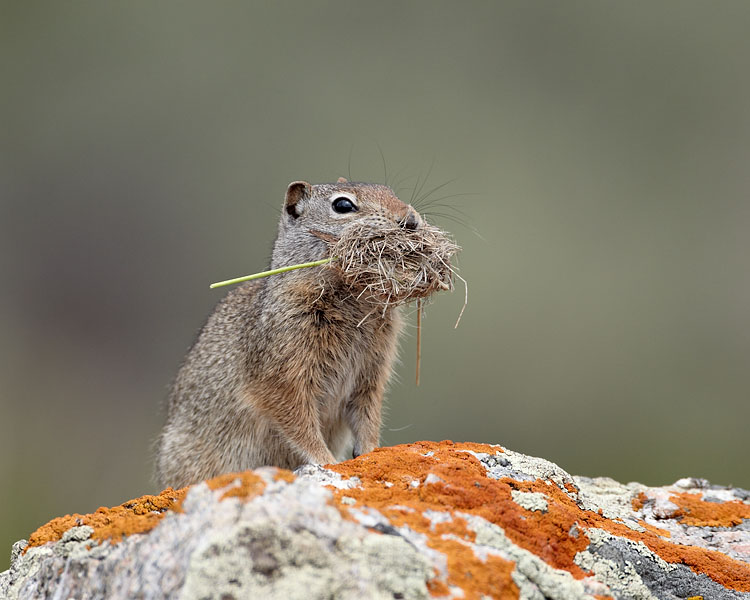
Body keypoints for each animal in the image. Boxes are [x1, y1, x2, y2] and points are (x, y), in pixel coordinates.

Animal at [155, 178, 423, 489]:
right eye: (343, 205)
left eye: (390, 191)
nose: (410, 220)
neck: (351, 298)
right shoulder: (281, 379)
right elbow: (300, 425)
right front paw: (327, 461)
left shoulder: (370, 376)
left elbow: (367, 417)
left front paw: (370, 451)